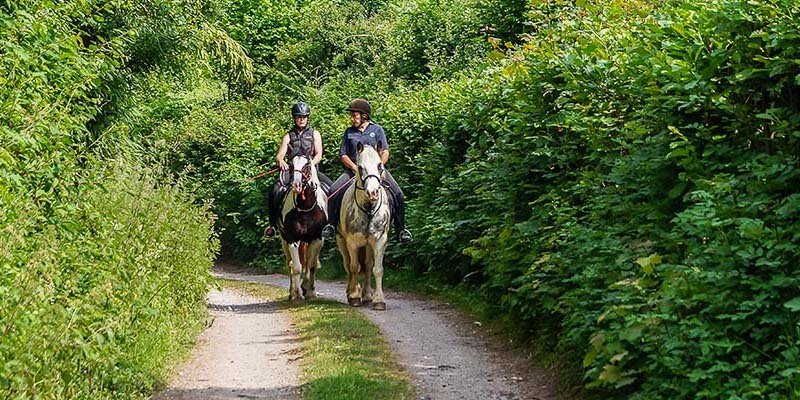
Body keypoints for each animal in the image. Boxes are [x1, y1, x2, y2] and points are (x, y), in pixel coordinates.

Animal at [278, 155, 328, 298]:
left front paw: (311, 292)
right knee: (290, 264)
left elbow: (312, 266)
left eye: (306, 166)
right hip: (284, 240)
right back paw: (292, 292)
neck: (305, 208)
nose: (296, 186)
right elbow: (296, 267)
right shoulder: (292, 239)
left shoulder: (317, 238)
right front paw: (296, 294)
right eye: (291, 165)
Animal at [334, 142, 390, 310]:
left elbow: (377, 269)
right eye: (360, 167)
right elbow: (354, 267)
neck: (368, 209)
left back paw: (366, 295)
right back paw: (353, 292)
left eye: (379, 165)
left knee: (367, 265)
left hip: (368, 245)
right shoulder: (352, 243)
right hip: (341, 241)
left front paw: (378, 301)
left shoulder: (379, 241)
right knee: (349, 265)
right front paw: (354, 297)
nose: (372, 193)